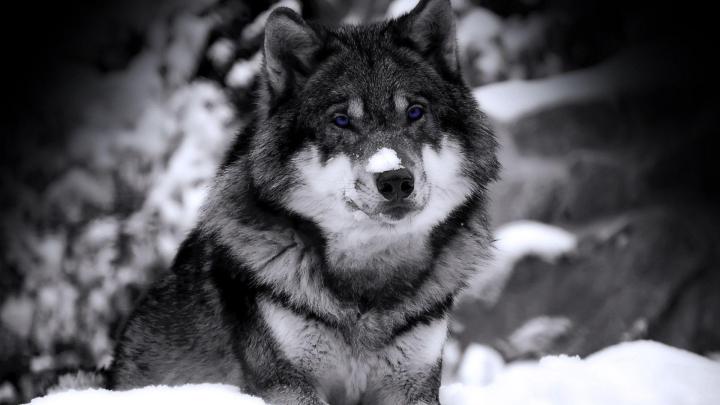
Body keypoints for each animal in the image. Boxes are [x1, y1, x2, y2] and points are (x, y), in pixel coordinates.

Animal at [108, 0, 498, 404]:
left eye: (415, 113)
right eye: (341, 120)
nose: (395, 180)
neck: (368, 282)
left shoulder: (414, 385)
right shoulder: (288, 383)